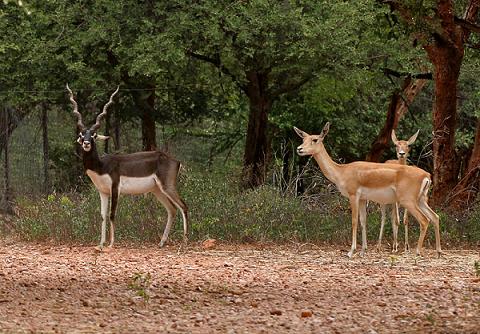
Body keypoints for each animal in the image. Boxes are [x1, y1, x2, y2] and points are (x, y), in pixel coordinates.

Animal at [65, 85, 188, 249]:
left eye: (94, 135)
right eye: (81, 134)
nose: (86, 143)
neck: (101, 166)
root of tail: (175, 161)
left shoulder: (115, 188)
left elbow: (112, 214)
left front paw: (111, 244)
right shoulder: (103, 192)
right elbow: (103, 216)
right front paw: (100, 244)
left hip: (167, 186)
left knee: (183, 206)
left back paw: (185, 242)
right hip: (157, 190)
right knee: (172, 210)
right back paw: (162, 242)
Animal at [294, 124, 440, 258]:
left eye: (315, 139)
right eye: (303, 138)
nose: (299, 149)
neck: (342, 171)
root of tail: (426, 175)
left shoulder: (353, 195)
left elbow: (354, 221)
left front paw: (351, 251)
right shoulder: (363, 199)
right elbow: (363, 221)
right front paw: (363, 250)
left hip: (408, 201)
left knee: (424, 220)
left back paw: (417, 251)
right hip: (421, 200)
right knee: (435, 217)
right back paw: (438, 252)